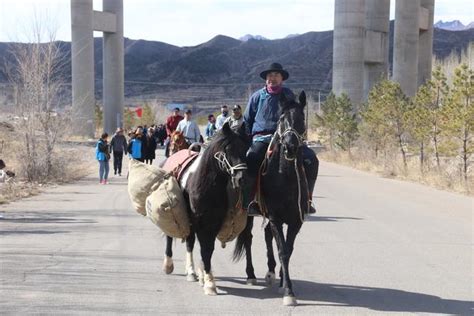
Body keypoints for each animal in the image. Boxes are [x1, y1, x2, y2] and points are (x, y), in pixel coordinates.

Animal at [162, 122, 250, 296]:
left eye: (245, 149)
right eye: (229, 149)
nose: (241, 178)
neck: (207, 185)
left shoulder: (213, 223)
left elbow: (207, 249)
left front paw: (207, 279)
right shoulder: (197, 221)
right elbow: (199, 247)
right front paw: (207, 281)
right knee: (177, 239)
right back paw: (173, 266)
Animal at [232, 90, 312, 304]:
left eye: (301, 118)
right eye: (282, 119)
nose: (290, 147)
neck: (285, 177)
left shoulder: (295, 220)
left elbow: (288, 249)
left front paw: (284, 282)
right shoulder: (276, 217)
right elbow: (282, 249)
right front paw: (289, 292)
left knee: (268, 236)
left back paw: (270, 272)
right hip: (250, 213)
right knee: (249, 238)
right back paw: (251, 275)